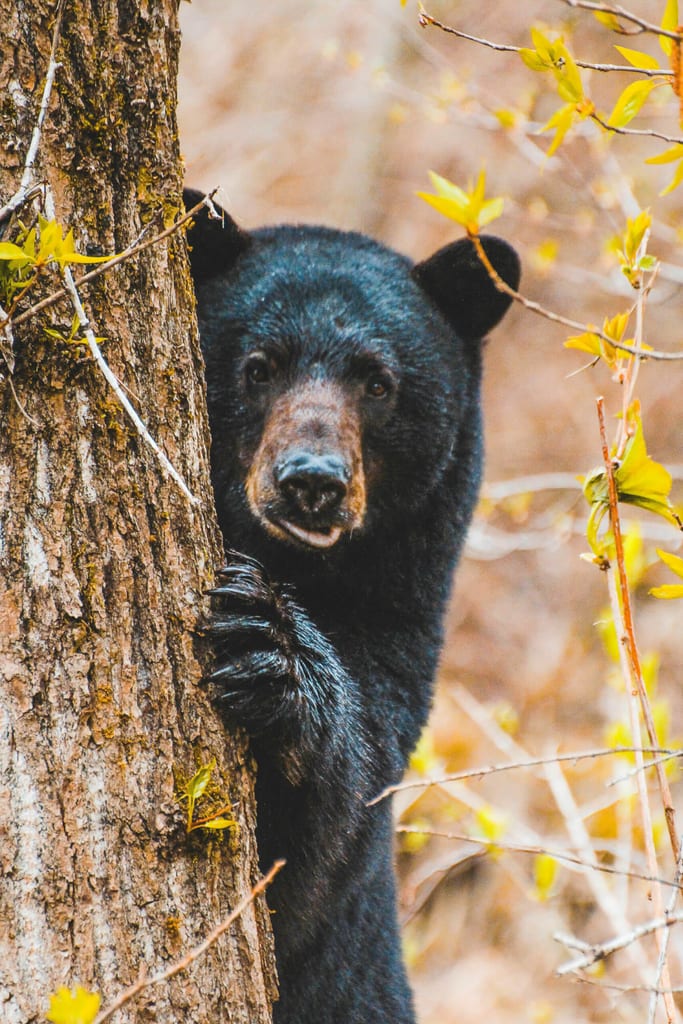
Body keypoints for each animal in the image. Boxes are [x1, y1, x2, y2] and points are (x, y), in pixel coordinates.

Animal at [183, 187, 520, 1024]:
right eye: (258, 367)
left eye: (377, 383)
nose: (312, 480)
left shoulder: (398, 638)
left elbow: (313, 861)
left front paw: (266, 649)